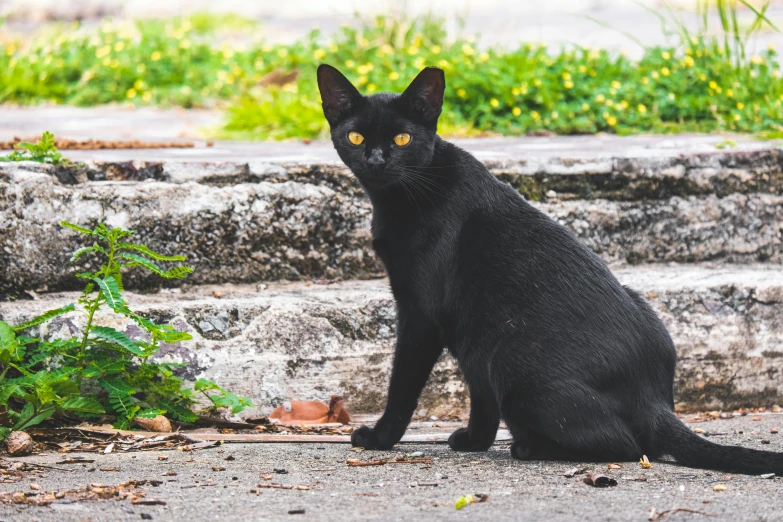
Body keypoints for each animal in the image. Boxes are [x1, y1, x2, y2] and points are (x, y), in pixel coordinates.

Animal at [316, 63, 780, 474]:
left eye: (402, 137)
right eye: (355, 136)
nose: (376, 160)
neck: (403, 196)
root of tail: (654, 398)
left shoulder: (422, 315)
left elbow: (403, 386)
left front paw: (379, 438)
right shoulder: (469, 330)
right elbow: (479, 395)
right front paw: (475, 441)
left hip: (514, 362)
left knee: (627, 446)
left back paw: (529, 446)